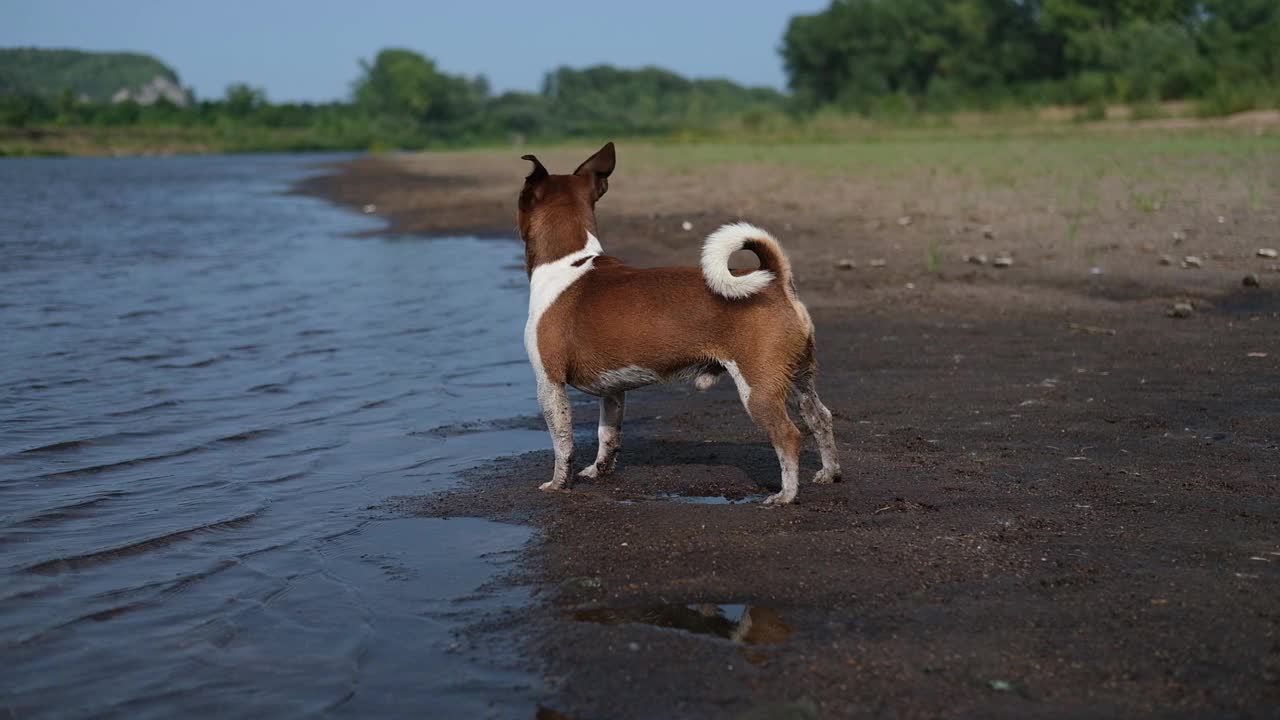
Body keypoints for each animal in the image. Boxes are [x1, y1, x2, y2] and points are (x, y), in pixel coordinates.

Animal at [517, 141, 839, 504]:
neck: (569, 263)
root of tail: (776, 281)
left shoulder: (550, 383)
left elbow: (563, 443)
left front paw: (559, 483)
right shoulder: (613, 390)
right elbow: (607, 435)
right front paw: (598, 471)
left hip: (758, 388)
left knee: (788, 436)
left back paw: (786, 495)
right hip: (798, 376)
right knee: (819, 417)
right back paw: (829, 473)